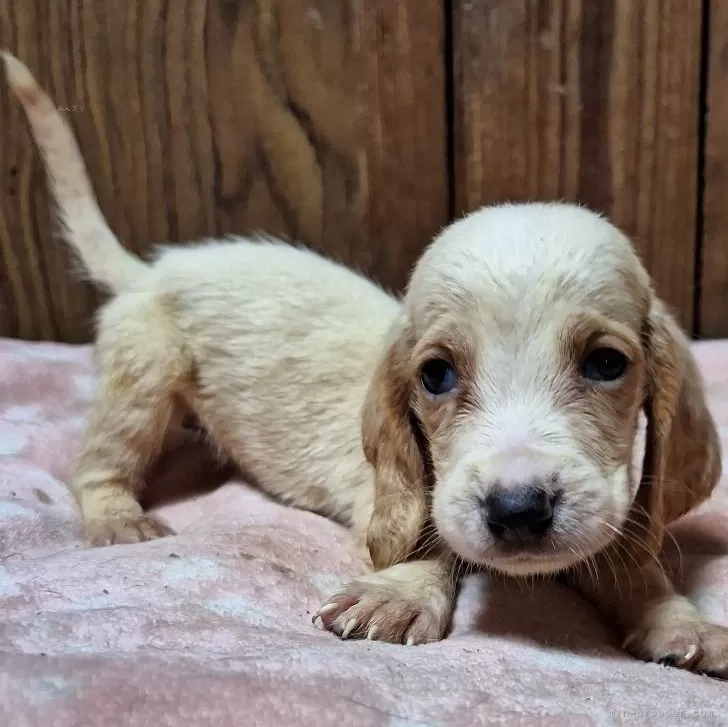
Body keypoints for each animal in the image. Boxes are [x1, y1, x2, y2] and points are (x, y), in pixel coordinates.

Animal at [7, 54, 728, 680]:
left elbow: (631, 563)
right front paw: (403, 591)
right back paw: (118, 515)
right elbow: (427, 533)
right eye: (436, 375)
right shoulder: (387, 497)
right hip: (145, 377)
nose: (518, 509)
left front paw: (681, 620)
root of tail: (152, 269)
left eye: (607, 363)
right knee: (96, 467)